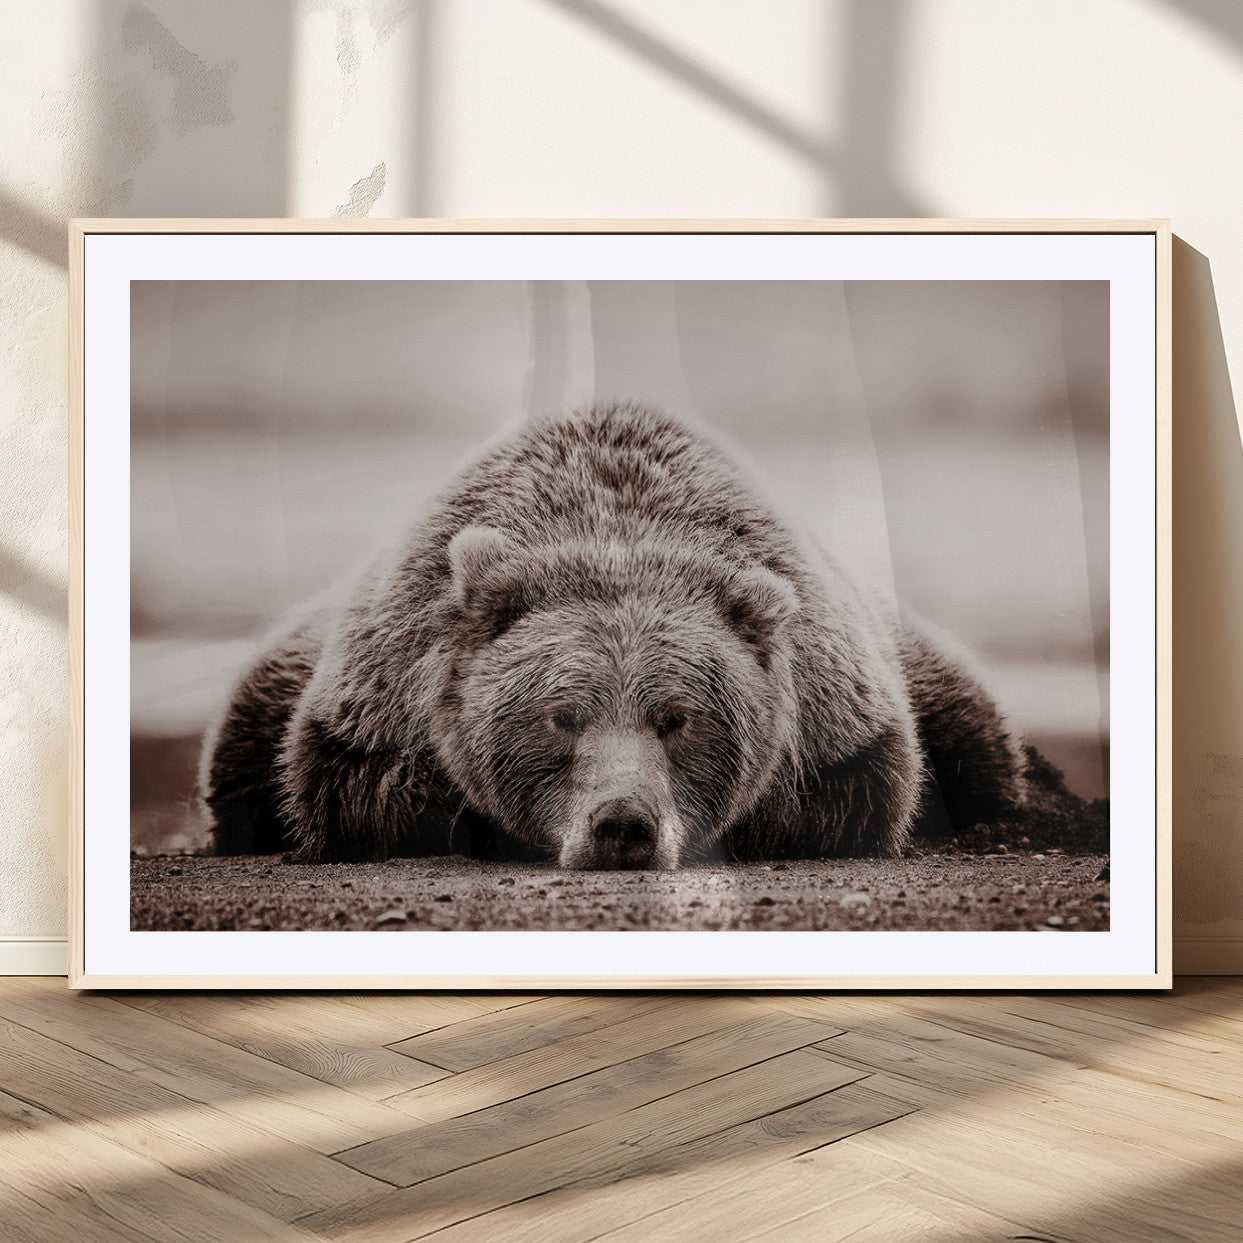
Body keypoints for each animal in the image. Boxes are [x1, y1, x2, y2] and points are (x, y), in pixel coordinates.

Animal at [199, 401, 1026, 869]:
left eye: (678, 717)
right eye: (561, 715)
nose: (622, 824)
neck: (613, 526)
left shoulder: (836, 705)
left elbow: (851, 791)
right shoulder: (379, 688)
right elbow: (361, 786)